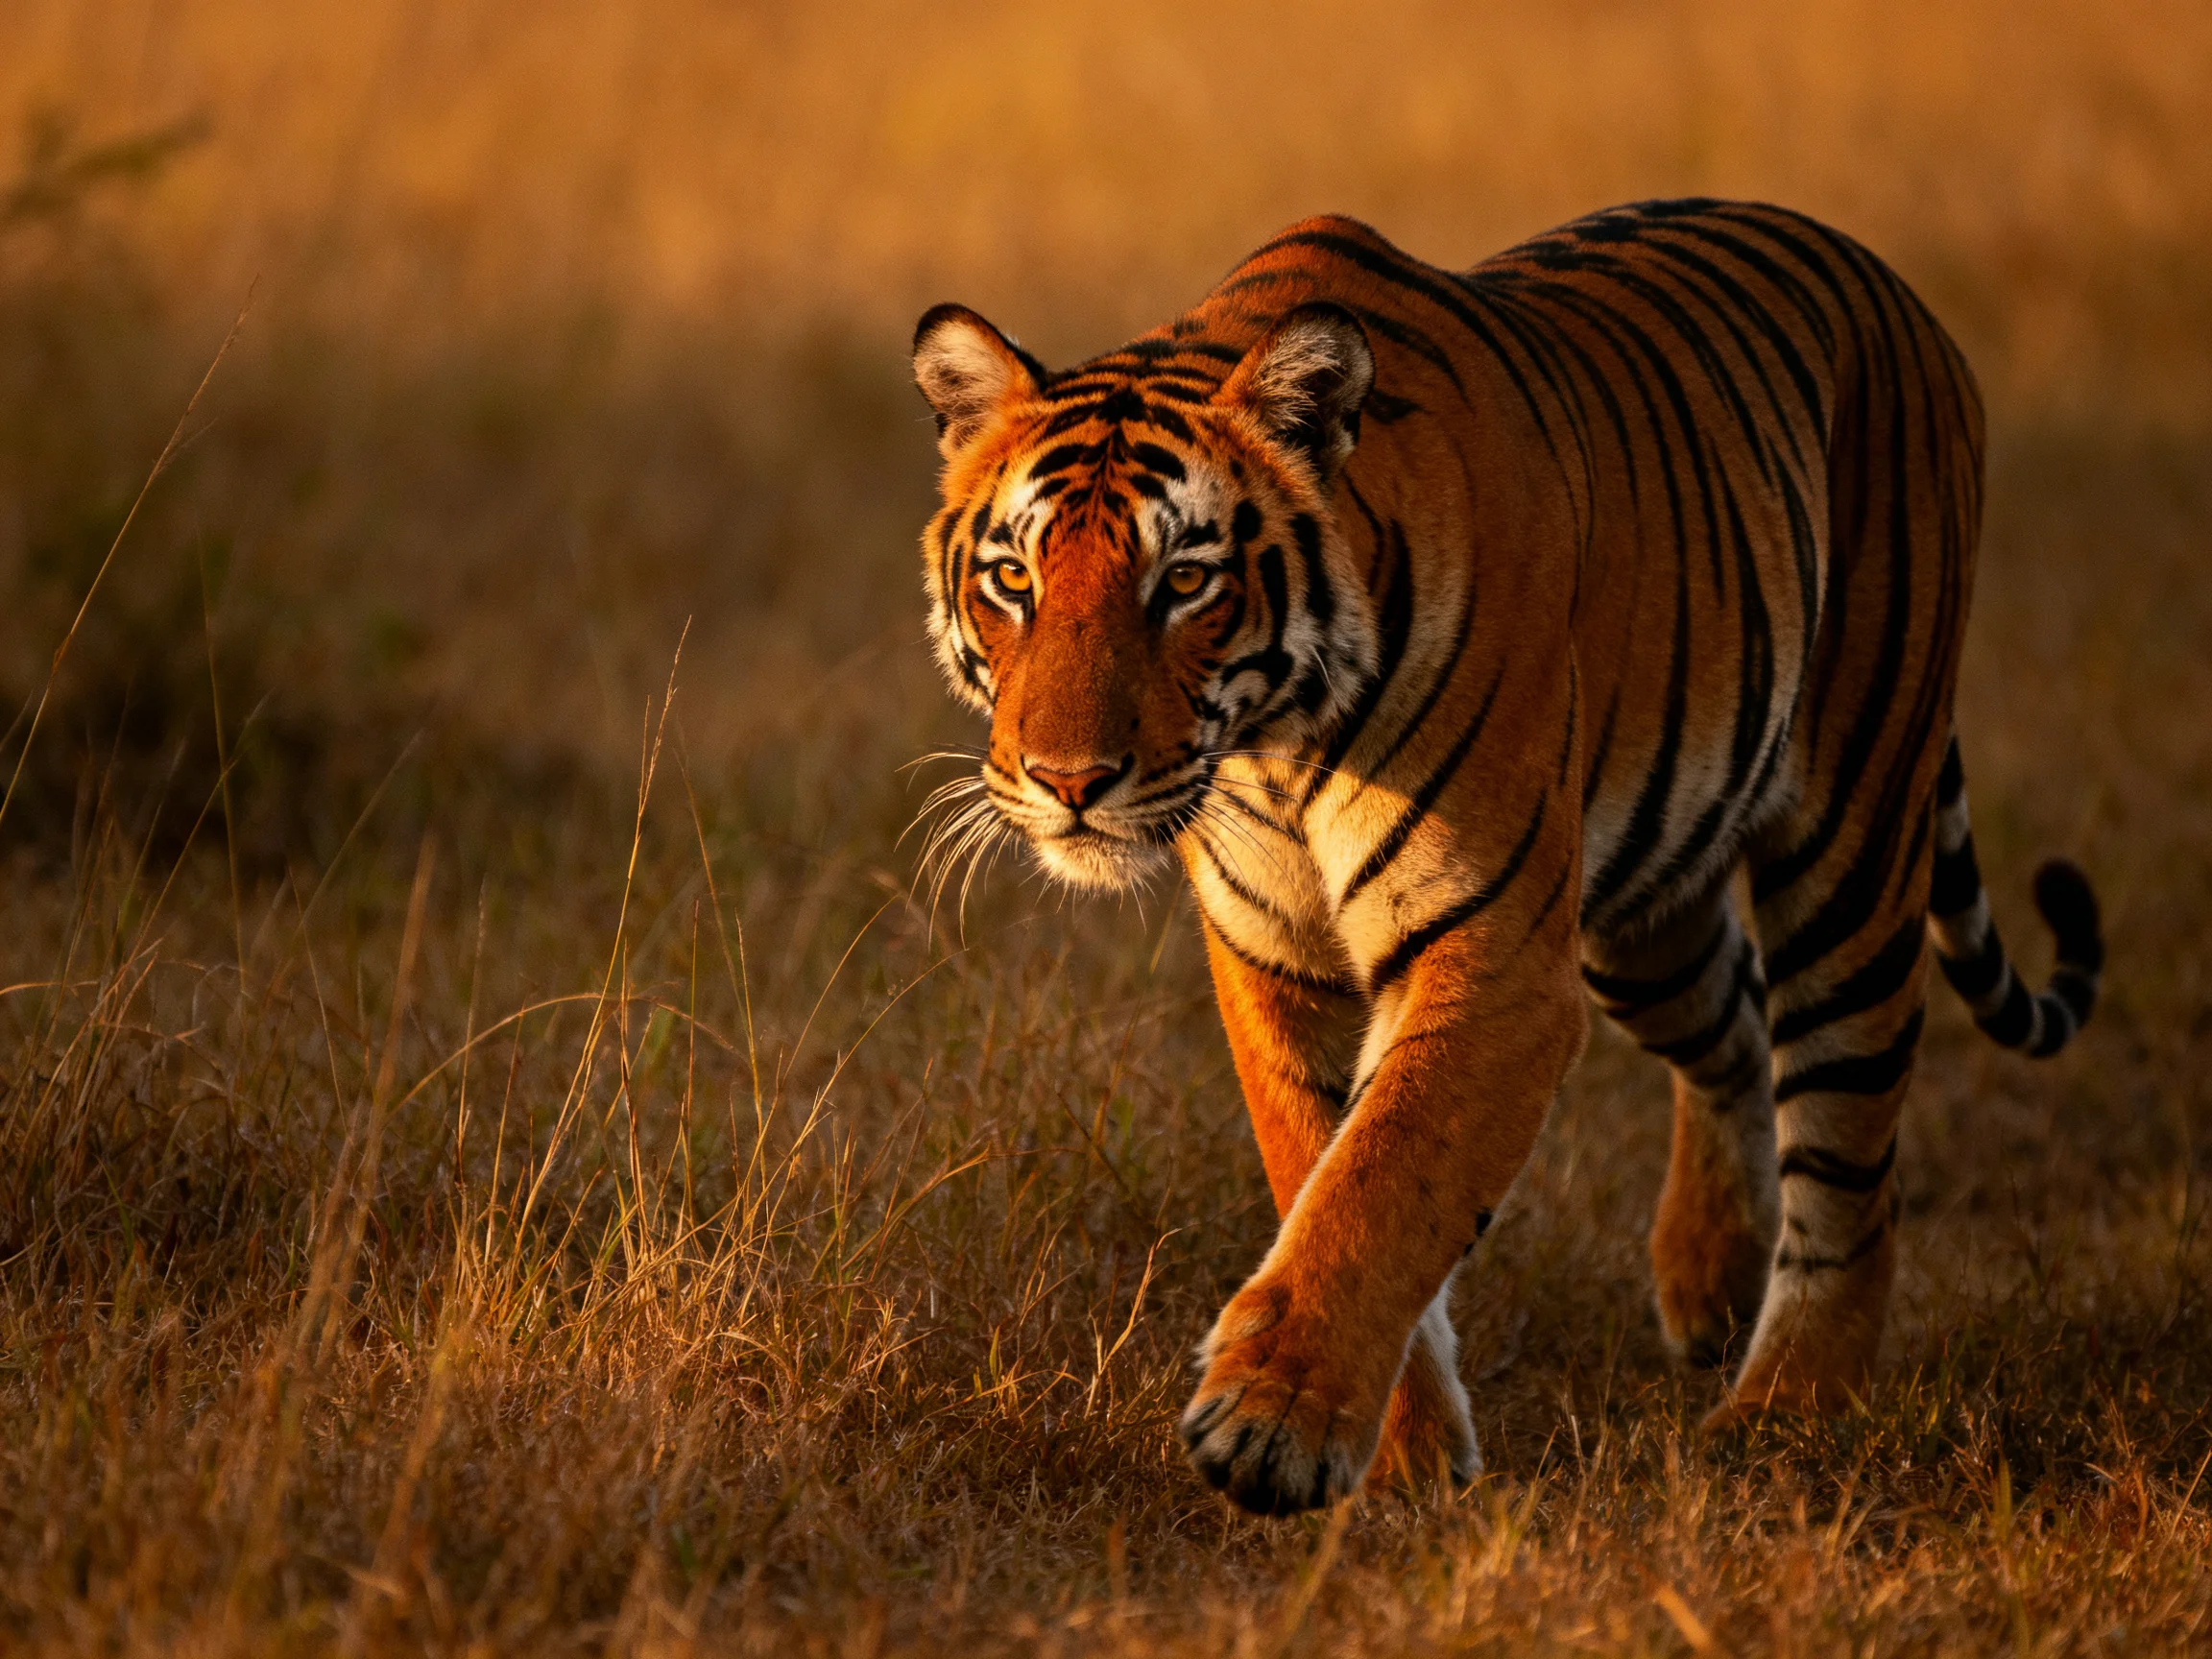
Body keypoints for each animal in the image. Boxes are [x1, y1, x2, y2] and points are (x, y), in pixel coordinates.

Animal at [909, 198, 2104, 1516]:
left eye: (1185, 582)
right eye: (1012, 577)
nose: (1068, 782)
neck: (1271, 747)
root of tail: (1891, 285)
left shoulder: (1497, 961)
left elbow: (1385, 1178)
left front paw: (1273, 1428)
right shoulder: (1278, 961)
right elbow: (1321, 1169)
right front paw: (1403, 1459)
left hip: (1851, 841)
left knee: (1848, 1155)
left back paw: (1786, 1416)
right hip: (1650, 908)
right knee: (1735, 1031)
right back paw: (1711, 1282)